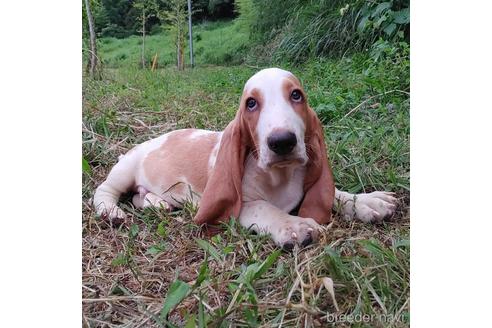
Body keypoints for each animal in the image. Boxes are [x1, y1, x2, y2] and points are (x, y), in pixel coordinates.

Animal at [94, 68, 398, 249]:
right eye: (251, 103)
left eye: (296, 95)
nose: (282, 141)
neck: (279, 175)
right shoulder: (239, 204)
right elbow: (265, 208)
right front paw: (294, 226)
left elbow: (333, 193)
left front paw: (367, 201)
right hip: (125, 169)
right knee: (104, 191)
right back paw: (112, 212)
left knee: (140, 198)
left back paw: (159, 204)